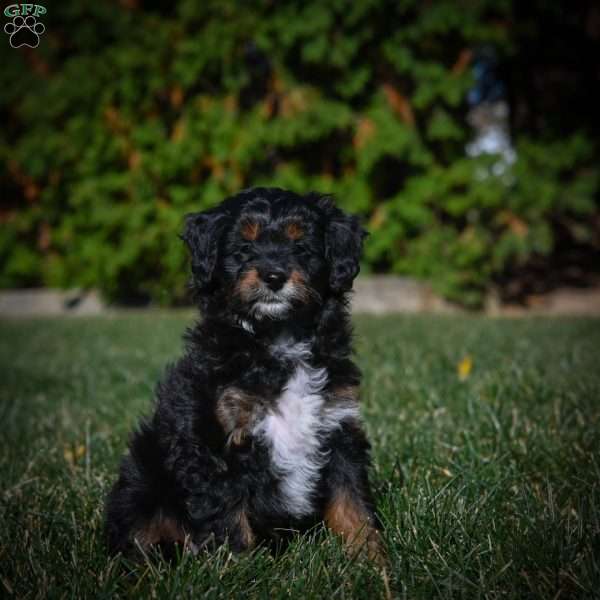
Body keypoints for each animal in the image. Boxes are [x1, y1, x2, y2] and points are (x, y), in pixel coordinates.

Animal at [105, 189, 382, 564]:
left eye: (301, 248)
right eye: (243, 248)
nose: (274, 276)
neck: (278, 337)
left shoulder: (337, 424)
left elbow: (353, 504)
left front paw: (374, 563)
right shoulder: (215, 442)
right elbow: (228, 518)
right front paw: (238, 569)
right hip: (142, 482)